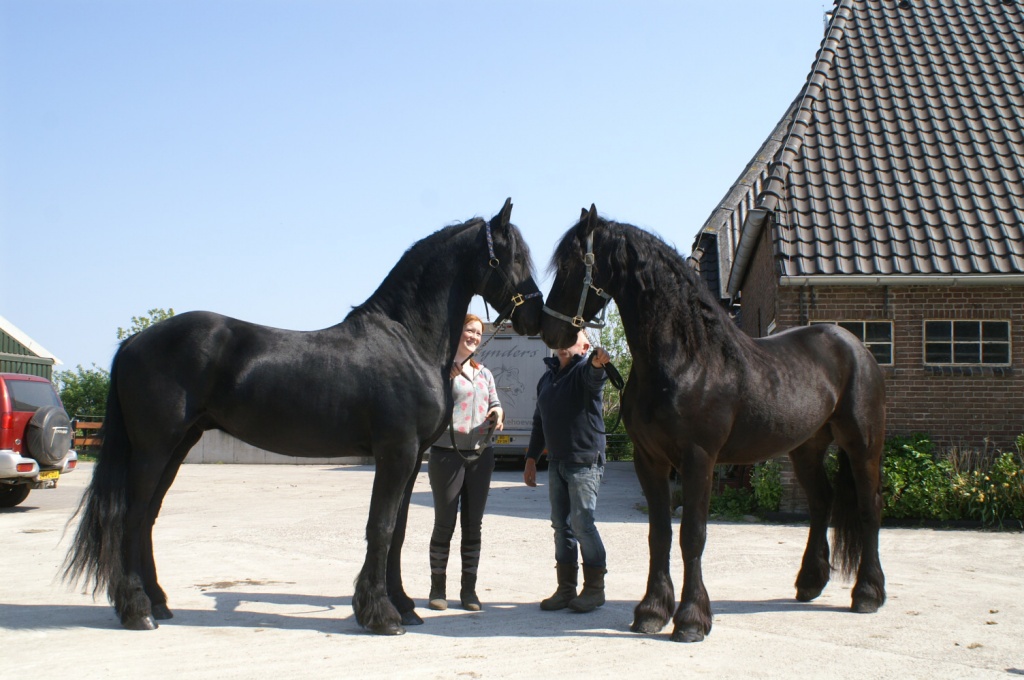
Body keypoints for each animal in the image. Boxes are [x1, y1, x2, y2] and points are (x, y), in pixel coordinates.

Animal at [63, 198, 543, 636]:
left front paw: (404, 606)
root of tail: (134, 342)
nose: (537, 315)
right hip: (153, 447)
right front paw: (381, 615)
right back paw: (136, 610)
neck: (407, 338)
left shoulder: (411, 459)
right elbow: (382, 527)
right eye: (512, 257)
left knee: (147, 516)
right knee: (129, 516)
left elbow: (400, 530)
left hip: (178, 445)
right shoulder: (396, 453)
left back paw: (158, 603)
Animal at [540, 206, 886, 643]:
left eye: (571, 264)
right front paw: (652, 611)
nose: (550, 332)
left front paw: (690, 619)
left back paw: (868, 593)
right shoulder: (649, 460)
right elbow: (659, 534)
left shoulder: (698, 459)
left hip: (863, 443)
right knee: (822, 502)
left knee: (869, 507)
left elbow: (692, 534)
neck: (686, 360)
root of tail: (855, 345)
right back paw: (810, 582)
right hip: (806, 447)